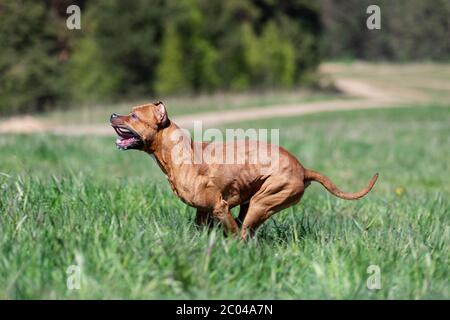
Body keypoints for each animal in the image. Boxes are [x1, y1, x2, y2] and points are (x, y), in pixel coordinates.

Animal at [110, 101, 378, 239]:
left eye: (134, 116)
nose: (112, 114)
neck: (178, 152)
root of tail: (303, 169)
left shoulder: (219, 208)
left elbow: (230, 230)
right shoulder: (203, 212)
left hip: (262, 202)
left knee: (243, 233)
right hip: (252, 202)